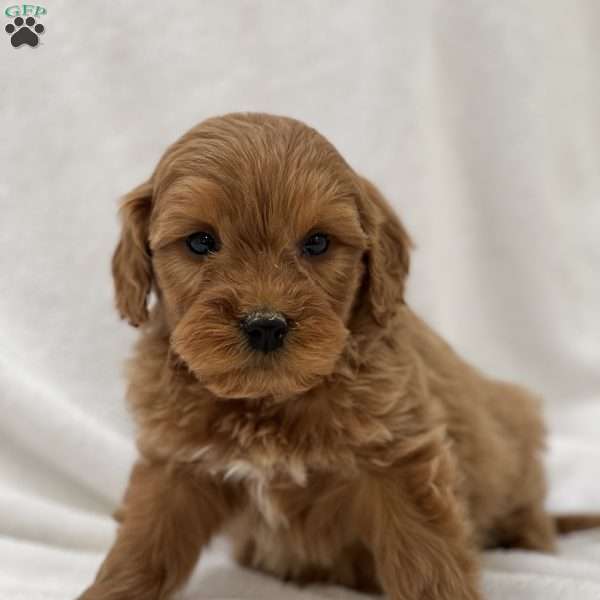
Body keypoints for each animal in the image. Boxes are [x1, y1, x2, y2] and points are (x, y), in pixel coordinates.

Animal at [81, 113, 580, 600]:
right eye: (201, 242)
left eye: (317, 243)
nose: (265, 324)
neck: (268, 403)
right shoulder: (175, 466)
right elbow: (141, 550)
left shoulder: (401, 458)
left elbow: (427, 560)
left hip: (517, 427)